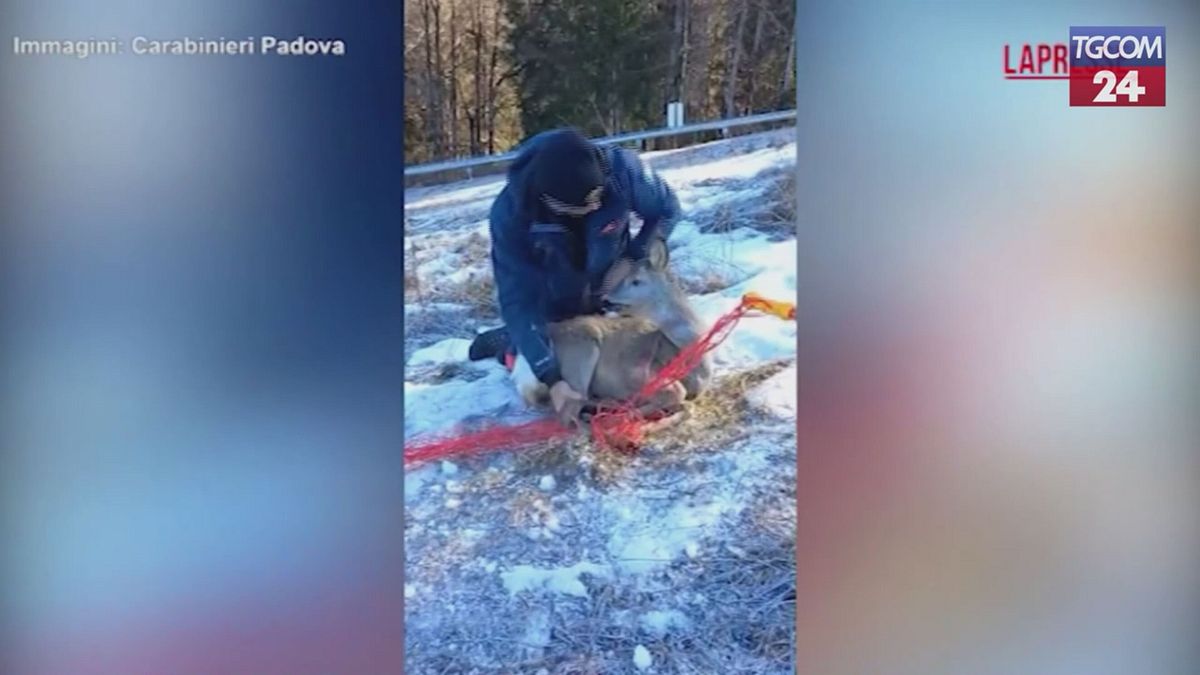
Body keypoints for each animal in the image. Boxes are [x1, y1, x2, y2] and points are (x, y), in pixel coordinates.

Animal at [508, 237, 710, 425]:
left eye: (636, 281)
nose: (606, 298)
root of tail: (520, 365)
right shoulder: (635, 373)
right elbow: (677, 394)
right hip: (581, 352)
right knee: (567, 411)